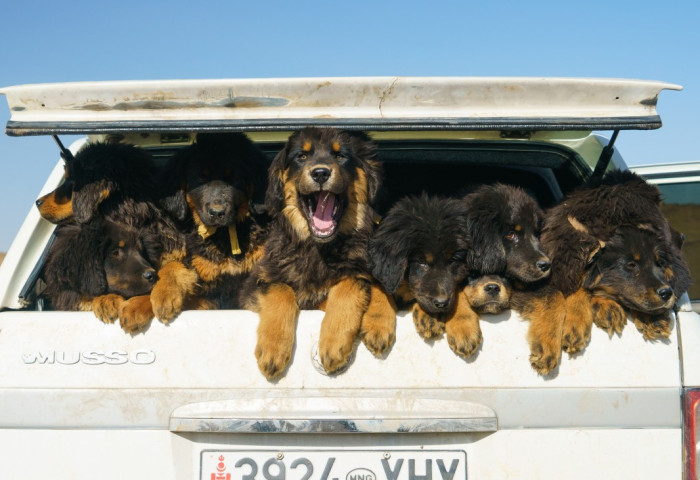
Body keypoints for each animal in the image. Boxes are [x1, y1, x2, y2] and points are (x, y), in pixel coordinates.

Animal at [242, 126, 396, 378]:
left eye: (340, 156)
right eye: (302, 156)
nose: (321, 173)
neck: (319, 248)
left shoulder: (359, 269)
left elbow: (351, 284)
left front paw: (335, 344)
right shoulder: (256, 284)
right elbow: (280, 289)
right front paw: (273, 350)